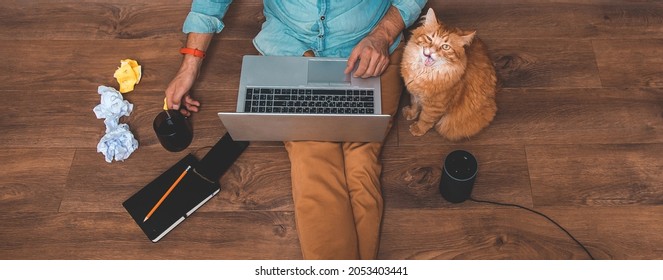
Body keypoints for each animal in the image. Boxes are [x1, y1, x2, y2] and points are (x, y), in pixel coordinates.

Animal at [400, 7, 498, 141]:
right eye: (429, 39)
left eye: (445, 47)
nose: (431, 51)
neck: (423, 73)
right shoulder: (415, 94)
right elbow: (415, 105)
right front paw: (410, 113)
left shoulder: (435, 106)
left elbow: (425, 119)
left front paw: (418, 129)